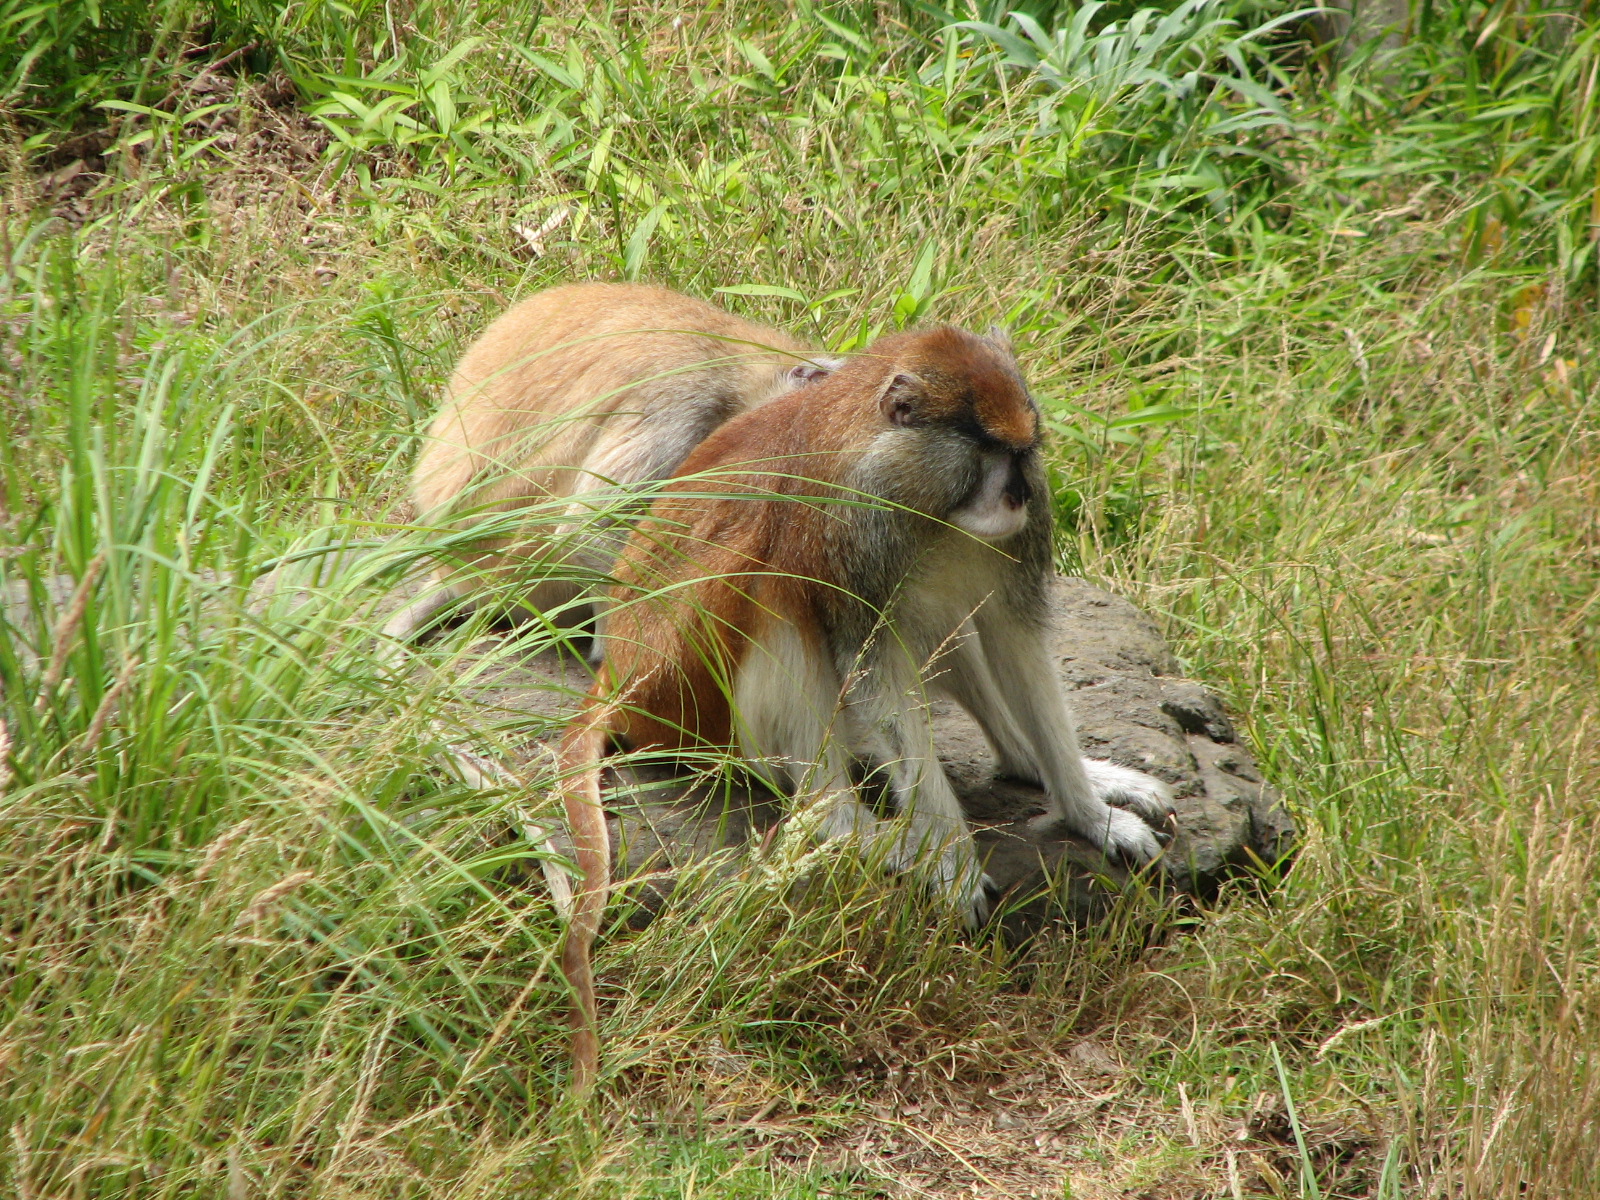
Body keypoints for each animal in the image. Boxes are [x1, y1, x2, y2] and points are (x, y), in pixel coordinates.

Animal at [554, 324, 1176, 1084]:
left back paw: (1023, 765)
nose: (1016, 496)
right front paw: (951, 861)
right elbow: (875, 666)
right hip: (686, 686)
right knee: (776, 577)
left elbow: (1015, 638)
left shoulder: (1012, 543)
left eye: (1023, 451)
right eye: (985, 450)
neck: (925, 500)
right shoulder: (858, 533)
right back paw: (849, 822)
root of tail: (620, 671)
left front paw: (1088, 809)